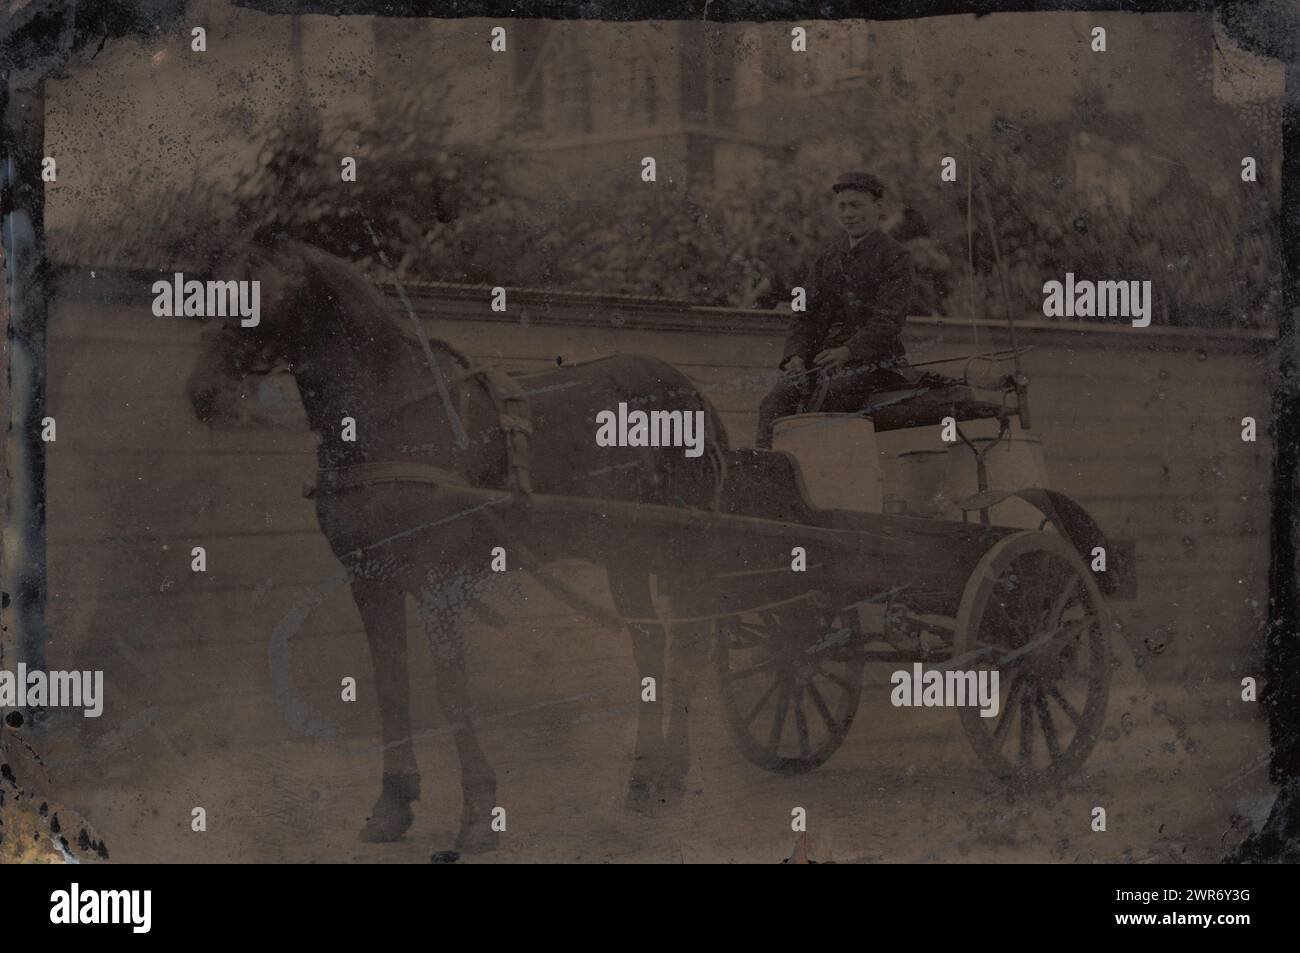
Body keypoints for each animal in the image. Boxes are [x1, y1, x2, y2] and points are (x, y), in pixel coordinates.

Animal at [183, 234, 733, 852]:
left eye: (261, 294)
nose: (202, 394)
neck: (390, 414)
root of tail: (692, 393)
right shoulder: (369, 579)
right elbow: (391, 686)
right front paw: (393, 804)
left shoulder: (437, 579)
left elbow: (450, 688)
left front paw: (477, 811)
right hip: (626, 554)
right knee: (649, 643)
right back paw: (642, 780)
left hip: (680, 551)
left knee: (687, 648)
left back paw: (672, 778)